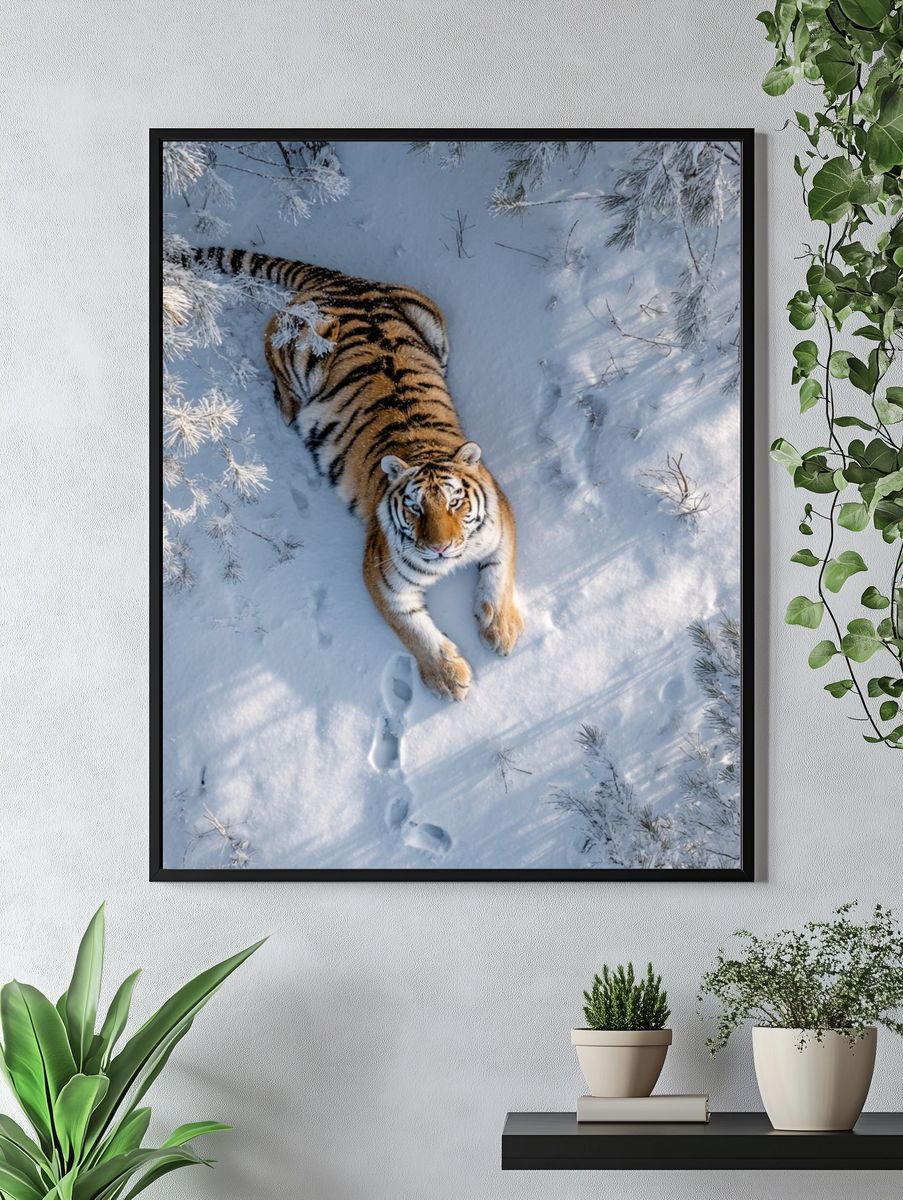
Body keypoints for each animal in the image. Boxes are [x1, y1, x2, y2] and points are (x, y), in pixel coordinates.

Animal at [192, 246, 524, 701]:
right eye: (415, 508)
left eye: (456, 501)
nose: (440, 549)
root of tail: (343, 281)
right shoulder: (383, 575)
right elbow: (414, 630)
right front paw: (448, 677)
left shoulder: (501, 522)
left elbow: (497, 578)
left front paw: (501, 629)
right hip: (303, 348)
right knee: (272, 345)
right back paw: (288, 410)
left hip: (434, 325)